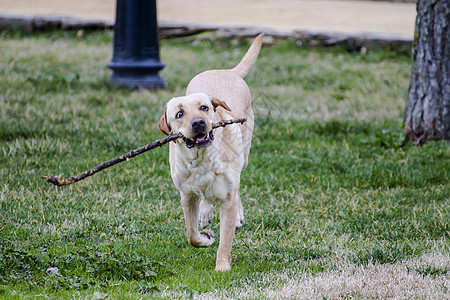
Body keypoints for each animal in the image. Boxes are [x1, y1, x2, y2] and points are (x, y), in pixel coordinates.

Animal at [158, 33, 264, 272]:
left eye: (204, 108)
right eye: (179, 114)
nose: (199, 123)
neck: (202, 159)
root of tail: (227, 70)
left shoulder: (227, 199)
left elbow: (226, 239)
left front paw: (222, 266)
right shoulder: (186, 196)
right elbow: (191, 234)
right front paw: (205, 238)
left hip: (244, 155)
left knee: (238, 183)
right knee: (206, 198)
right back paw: (206, 212)